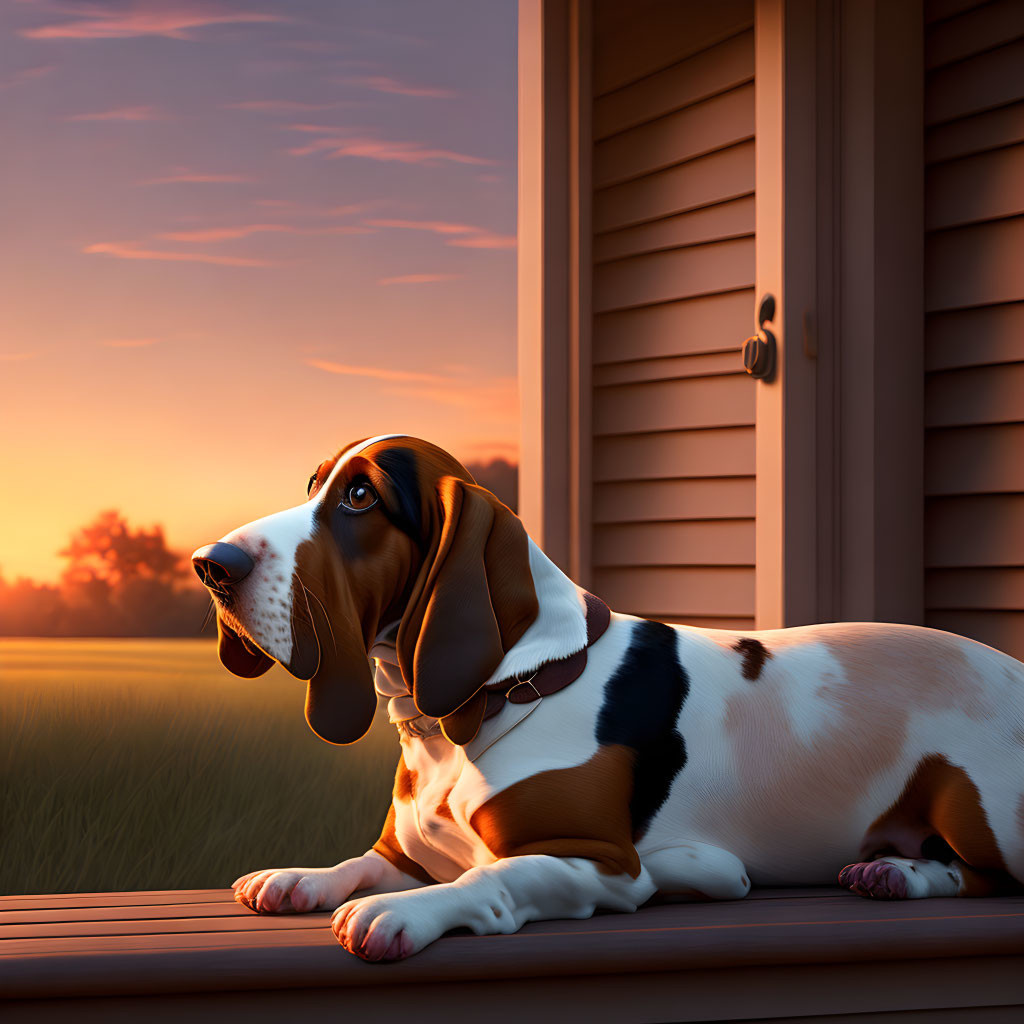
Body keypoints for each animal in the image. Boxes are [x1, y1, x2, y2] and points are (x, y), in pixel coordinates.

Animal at [192, 434, 1024, 958]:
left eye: (361, 495)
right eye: (315, 486)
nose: (209, 563)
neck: (503, 694)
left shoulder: (597, 863)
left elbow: (490, 877)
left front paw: (405, 912)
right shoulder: (410, 851)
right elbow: (360, 862)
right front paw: (301, 879)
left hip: (979, 808)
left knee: (992, 878)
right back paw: (891, 871)